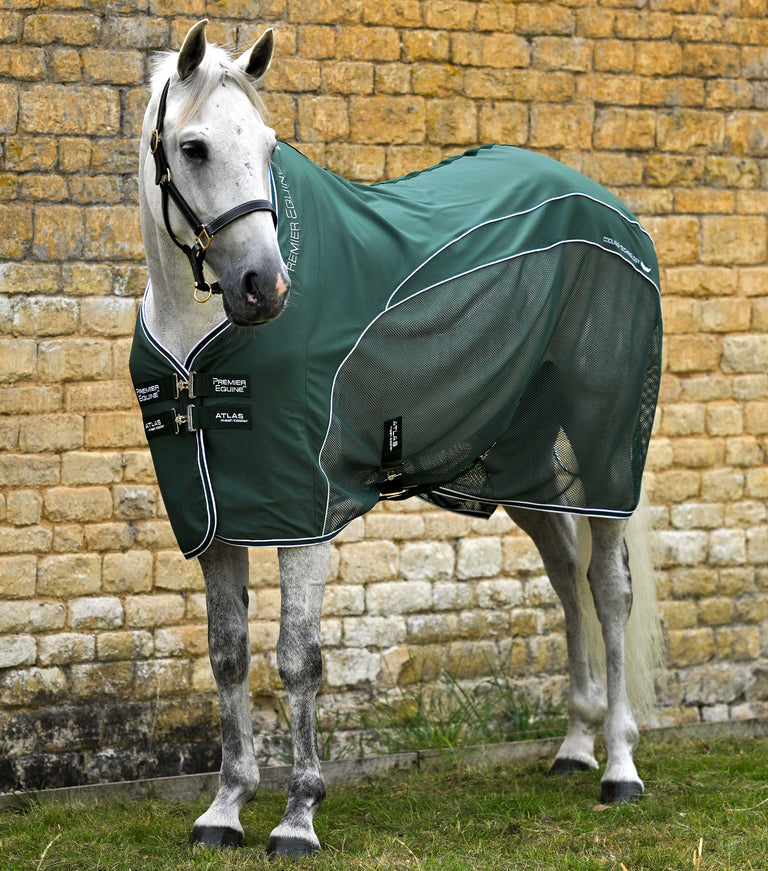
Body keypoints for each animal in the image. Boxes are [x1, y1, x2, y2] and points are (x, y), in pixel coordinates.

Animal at [134, 19, 663, 858]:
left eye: (270, 145)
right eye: (194, 147)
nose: (265, 287)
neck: (200, 346)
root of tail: (612, 209)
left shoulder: (304, 510)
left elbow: (298, 658)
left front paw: (298, 814)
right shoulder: (214, 516)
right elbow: (227, 655)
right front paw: (225, 807)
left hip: (603, 443)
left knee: (608, 591)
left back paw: (618, 764)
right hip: (524, 461)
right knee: (564, 574)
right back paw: (575, 746)